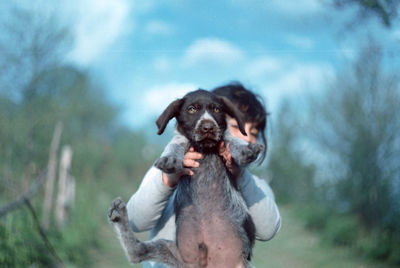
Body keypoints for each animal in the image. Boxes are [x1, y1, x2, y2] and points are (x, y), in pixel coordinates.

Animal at [108, 89, 262, 266]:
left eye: (217, 109)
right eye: (191, 109)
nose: (208, 127)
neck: (204, 149)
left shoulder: (223, 139)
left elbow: (231, 138)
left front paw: (244, 150)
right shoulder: (182, 141)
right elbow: (176, 142)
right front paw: (170, 159)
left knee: (136, 253)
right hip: (173, 252)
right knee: (137, 252)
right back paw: (119, 216)